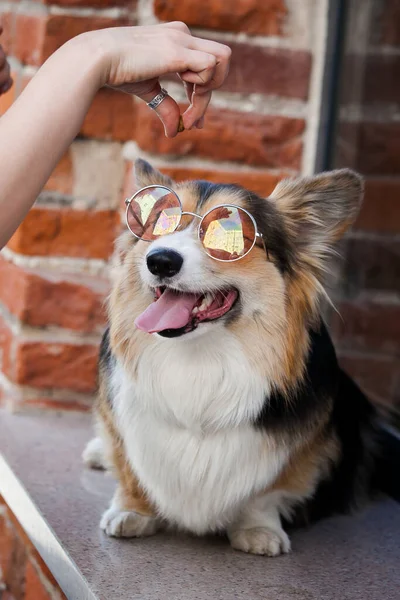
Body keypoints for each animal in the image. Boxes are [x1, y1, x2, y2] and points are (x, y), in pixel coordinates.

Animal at [83, 161, 376, 556]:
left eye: (229, 237)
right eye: (160, 223)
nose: (159, 260)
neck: (200, 359)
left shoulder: (296, 458)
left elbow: (267, 492)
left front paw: (259, 530)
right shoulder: (122, 428)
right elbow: (130, 468)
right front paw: (131, 511)